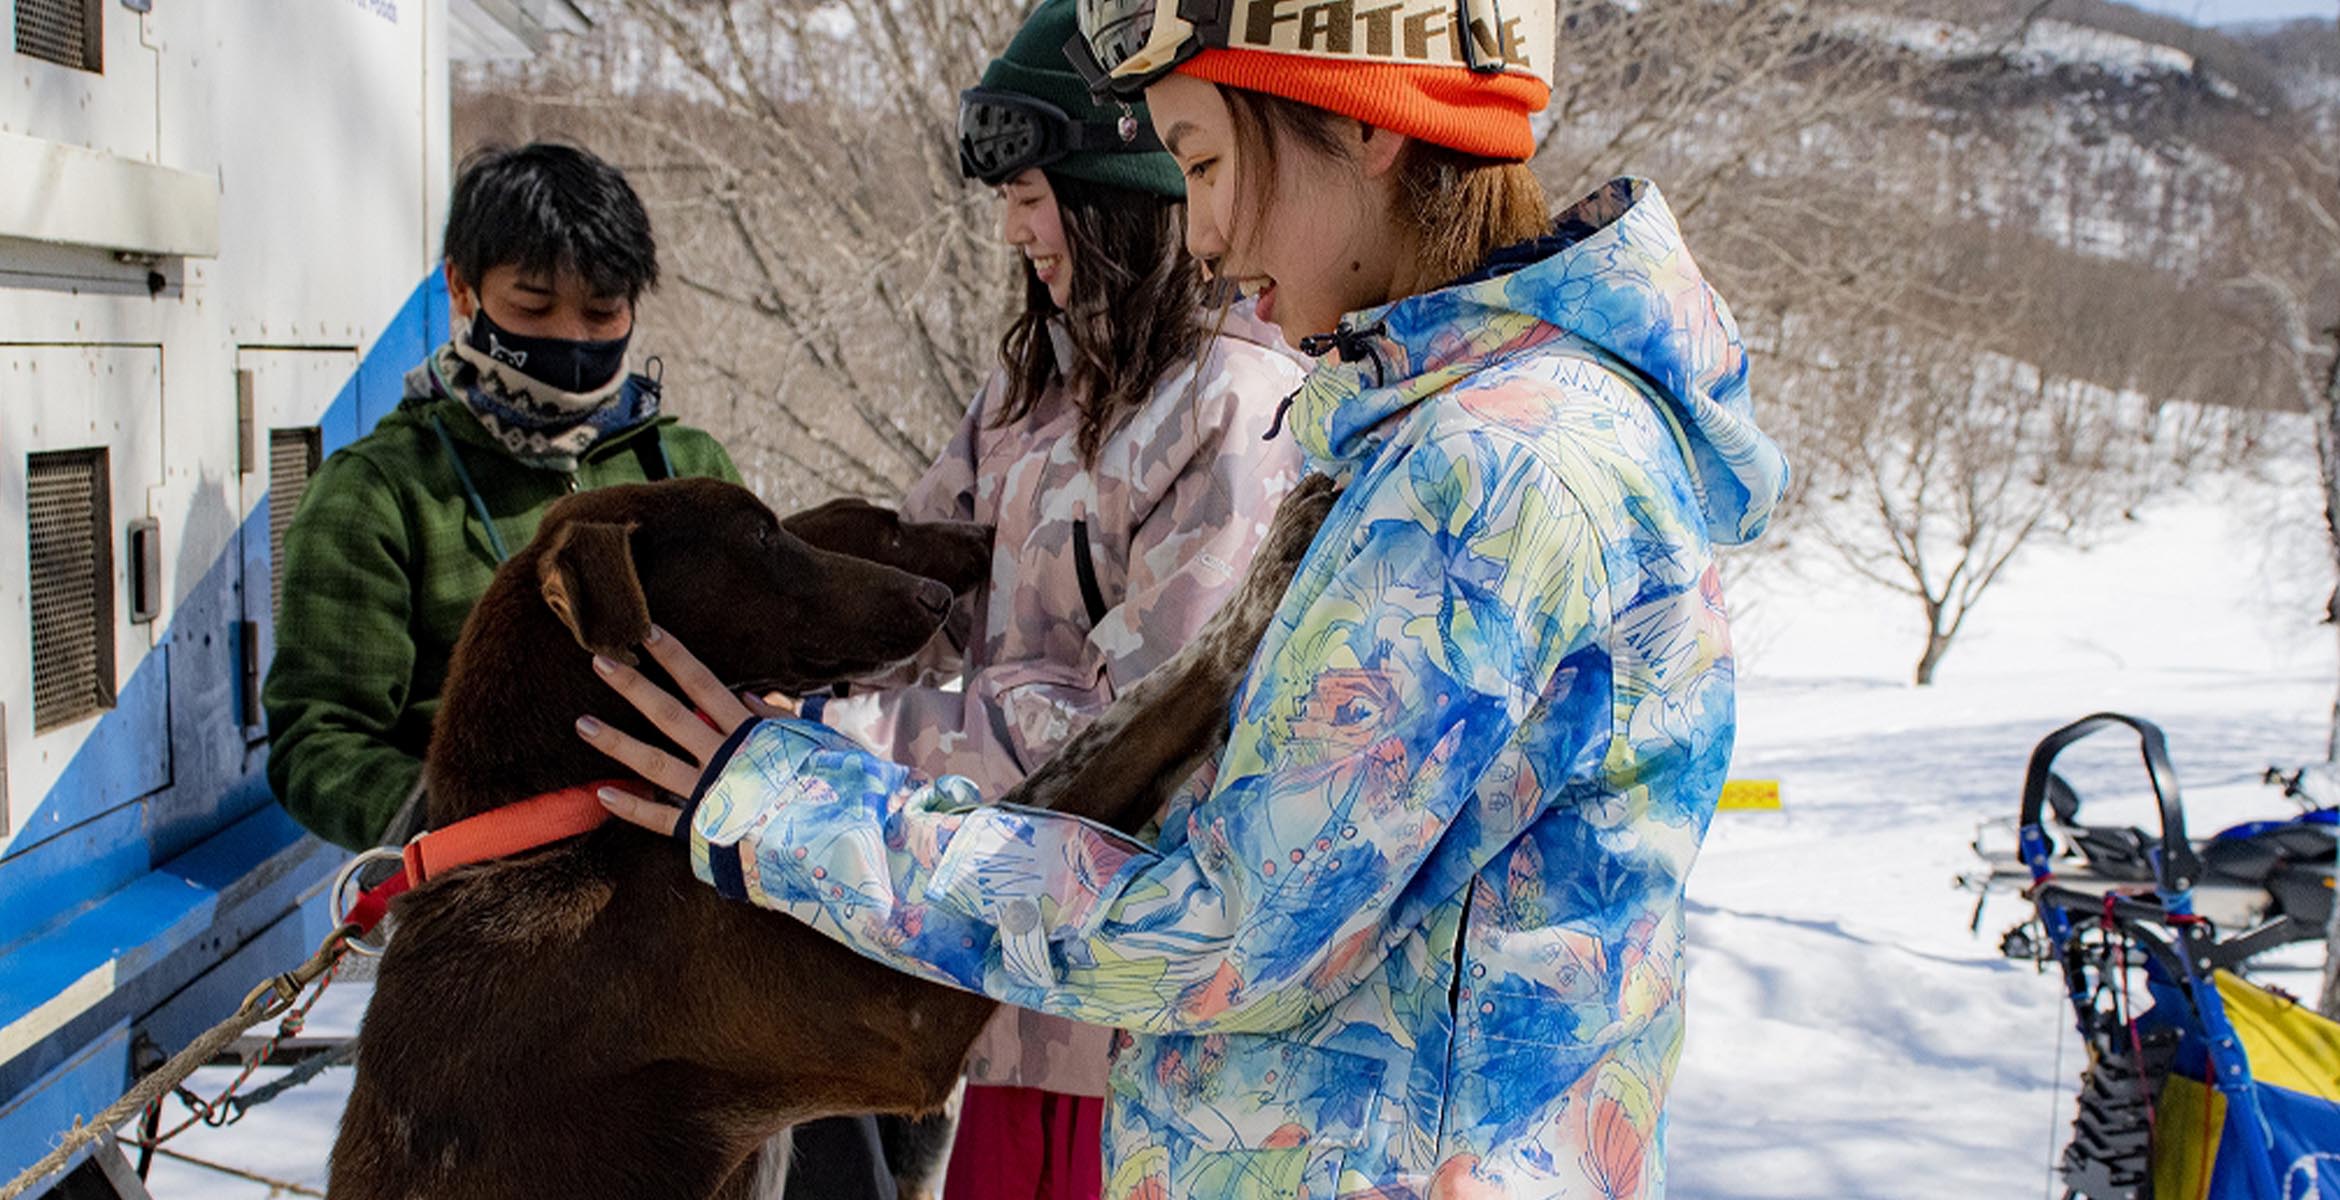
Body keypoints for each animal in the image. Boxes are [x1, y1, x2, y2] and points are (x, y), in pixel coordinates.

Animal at [327, 472, 1338, 1192]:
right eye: (760, 535)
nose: (935, 594)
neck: (560, 823)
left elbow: (1097, 741)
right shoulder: (908, 1017)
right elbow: (1140, 709)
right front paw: (1268, 573)